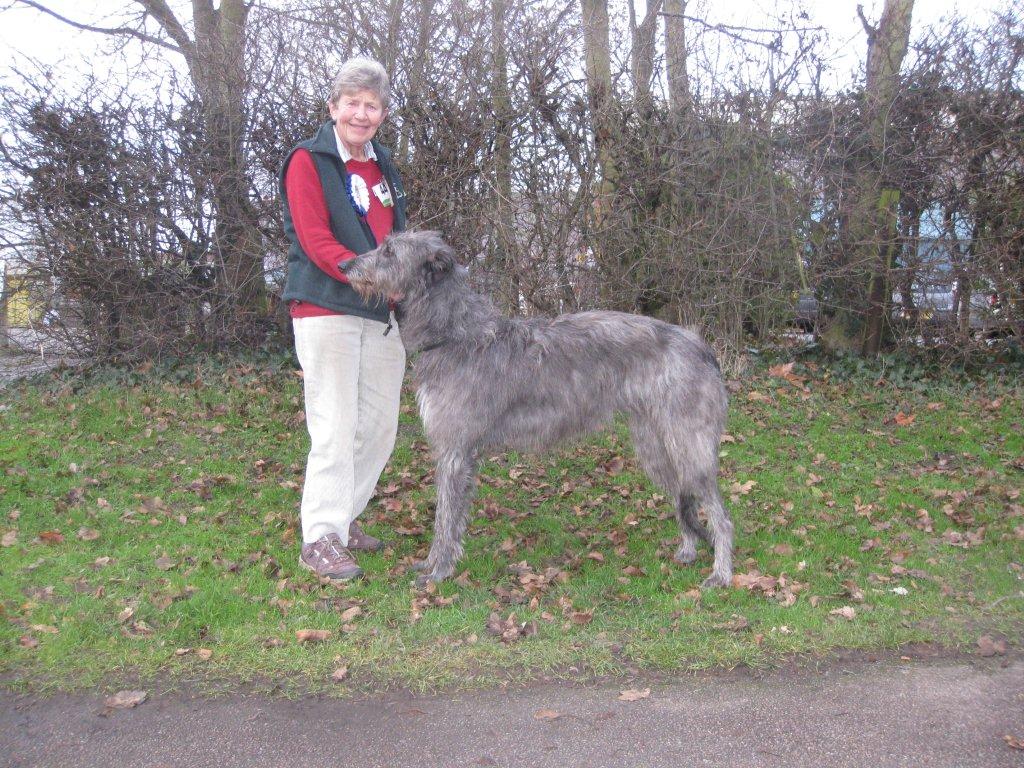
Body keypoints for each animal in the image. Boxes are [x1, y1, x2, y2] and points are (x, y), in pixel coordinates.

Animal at [344, 230, 737, 589]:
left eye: (389, 251)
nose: (344, 265)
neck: (454, 334)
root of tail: (701, 346)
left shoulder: (454, 450)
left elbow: (445, 516)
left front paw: (437, 571)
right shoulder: (459, 452)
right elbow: (452, 516)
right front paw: (432, 565)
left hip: (688, 444)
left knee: (721, 514)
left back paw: (721, 574)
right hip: (655, 446)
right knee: (683, 496)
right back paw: (688, 550)